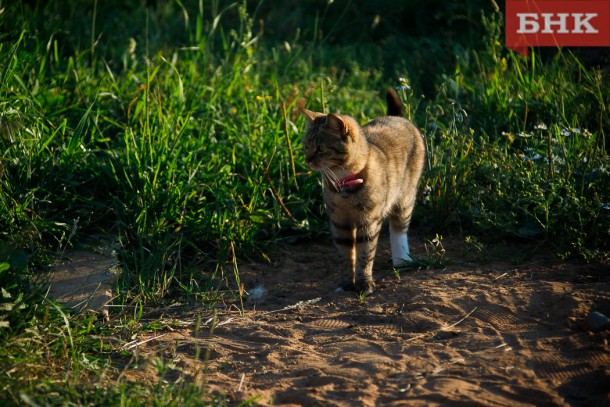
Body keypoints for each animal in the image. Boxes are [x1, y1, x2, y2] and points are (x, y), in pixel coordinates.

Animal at [302, 87, 426, 294]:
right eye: (306, 147)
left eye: (320, 148)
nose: (307, 160)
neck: (344, 181)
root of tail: (396, 117)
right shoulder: (340, 222)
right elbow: (345, 254)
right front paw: (347, 282)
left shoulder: (369, 221)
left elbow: (365, 254)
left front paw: (364, 283)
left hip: (406, 197)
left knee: (399, 229)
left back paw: (402, 260)